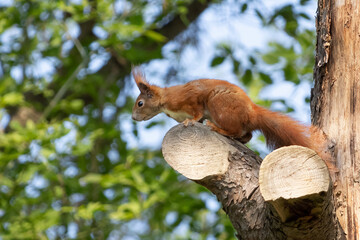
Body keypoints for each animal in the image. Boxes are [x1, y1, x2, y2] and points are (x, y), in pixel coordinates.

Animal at [131, 68, 332, 167]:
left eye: (140, 103)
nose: (133, 117)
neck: (165, 102)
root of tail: (252, 112)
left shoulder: (191, 99)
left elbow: (197, 113)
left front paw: (191, 121)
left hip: (218, 104)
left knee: (235, 129)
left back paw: (216, 128)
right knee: (246, 134)